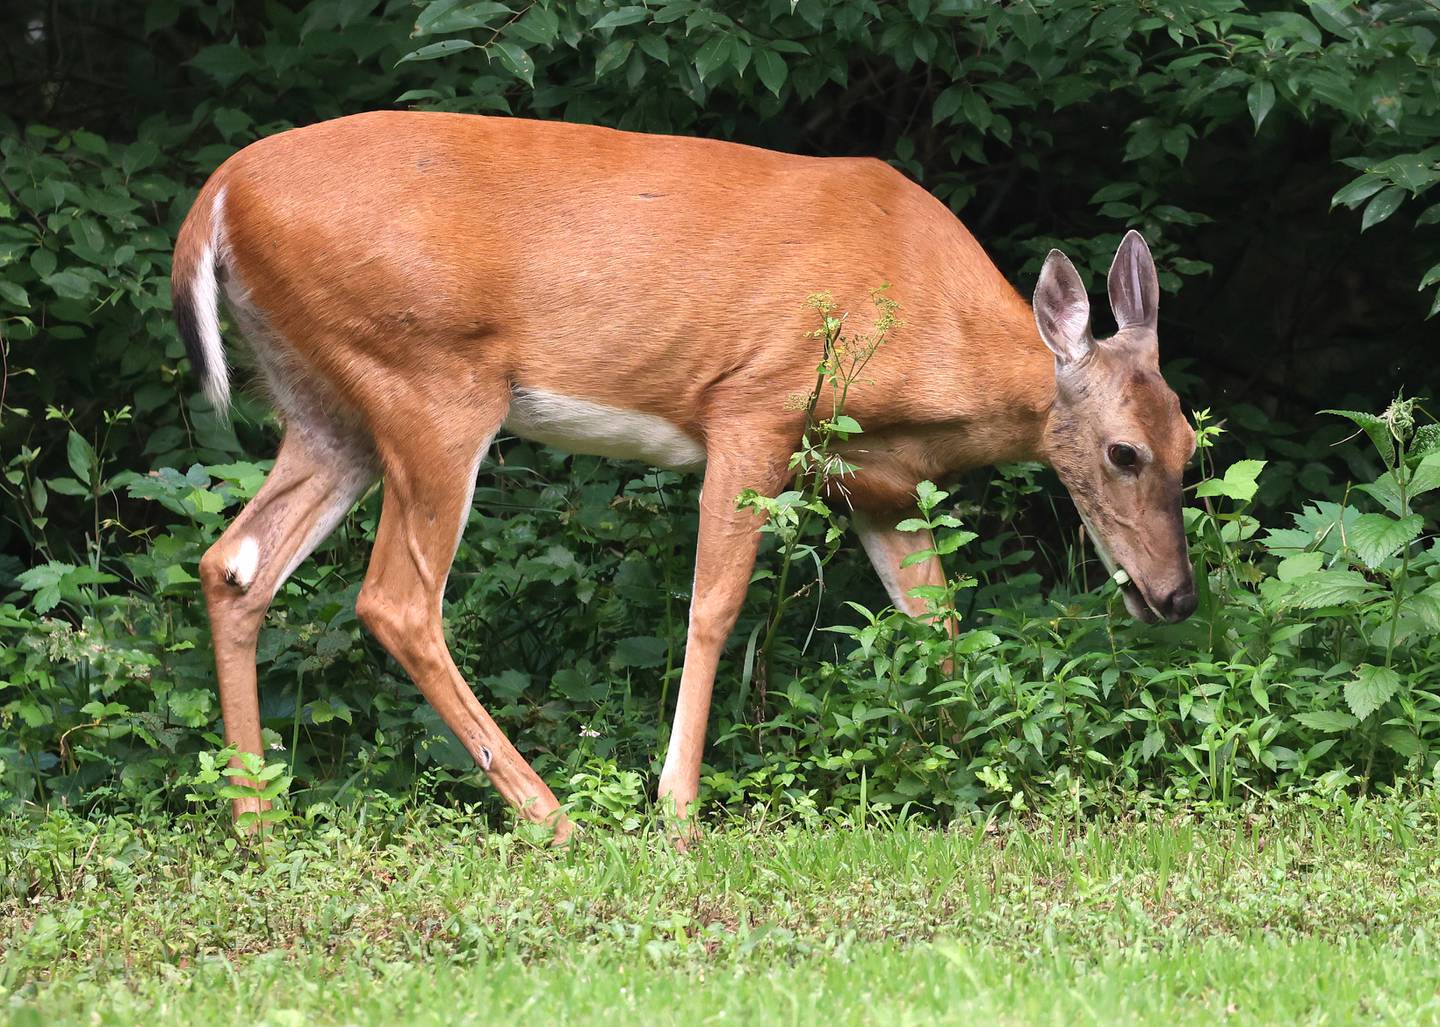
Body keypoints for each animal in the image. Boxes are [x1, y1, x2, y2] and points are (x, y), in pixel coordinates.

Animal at [174, 112, 1198, 835]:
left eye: (1192, 447)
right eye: (1123, 452)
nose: (1176, 597)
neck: (924, 329)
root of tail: (215, 195)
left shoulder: (882, 484)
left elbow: (933, 622)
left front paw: (954, 763)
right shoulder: (755, 405)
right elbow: (713, 606)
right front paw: (678, 807)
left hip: (326, 407)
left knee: (234, 564)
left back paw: (254, 819)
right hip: (430, 383)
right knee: (395, 598)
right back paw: (554, 818)